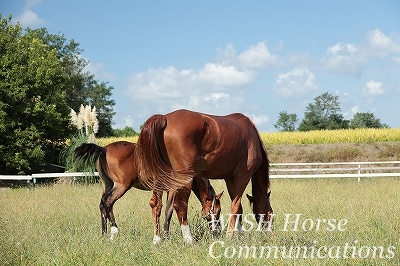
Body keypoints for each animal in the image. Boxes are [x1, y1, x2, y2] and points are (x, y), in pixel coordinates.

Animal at [72, 141, 222, 243]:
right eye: (218, 210)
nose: (217, 231)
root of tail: (103, 149)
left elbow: (167, 210)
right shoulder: (173, 189)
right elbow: (169, 210)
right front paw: (165, 236)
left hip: (107, 185)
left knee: (102, 205)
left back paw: (104, 233)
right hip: (121, 186)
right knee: (107, 202)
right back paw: (114, 231)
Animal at [136, 109, 274, 236]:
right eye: (271, 213)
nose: (269, 231)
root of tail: (164, 118)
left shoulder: (230, 179)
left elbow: (238, 207)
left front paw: (239, 234)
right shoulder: (242, 177)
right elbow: (235, 205)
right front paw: (230, 234)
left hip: (162, 178)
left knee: (156, 204)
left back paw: (158, 239)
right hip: (183, 178)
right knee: (180, 205)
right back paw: (188, 239)